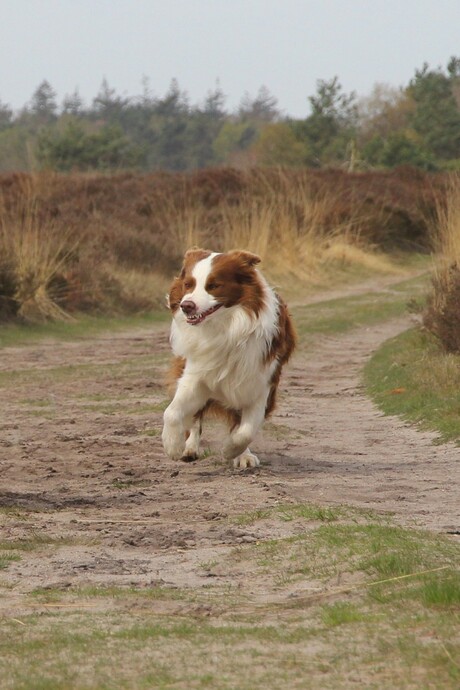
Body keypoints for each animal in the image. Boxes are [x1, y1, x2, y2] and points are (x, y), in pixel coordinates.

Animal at [164, 247, 296, 468]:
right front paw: (172, 445)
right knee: (196, 416)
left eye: (214, 286)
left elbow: (246, 430)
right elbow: (172, 412)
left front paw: (232, 450)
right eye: (188, 284)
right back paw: (189, 449)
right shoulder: (196, 375)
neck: (226, 328)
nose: (186, 305)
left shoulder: (261, 382)